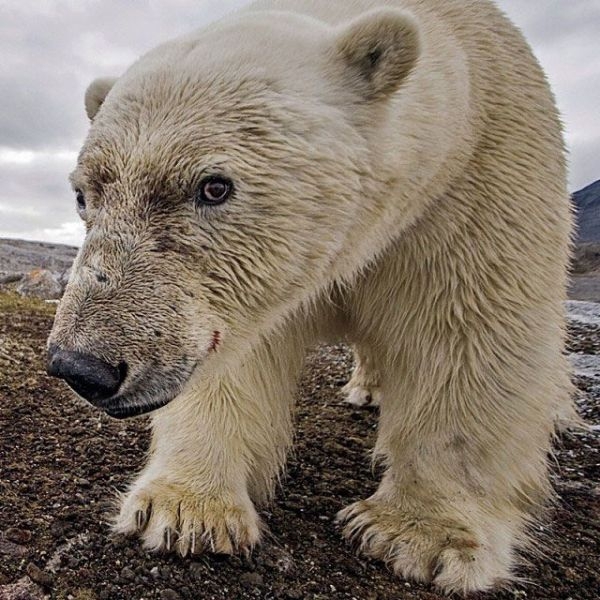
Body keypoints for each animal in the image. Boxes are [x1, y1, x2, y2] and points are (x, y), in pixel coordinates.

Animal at [45, 0, 572, 592]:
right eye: (83, 194)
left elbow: (469, 333)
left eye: (214, 186)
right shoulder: (249, 292)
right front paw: (185, 511)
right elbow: (239, 357)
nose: (82, 366)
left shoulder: (476, 179)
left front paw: (419, 536)